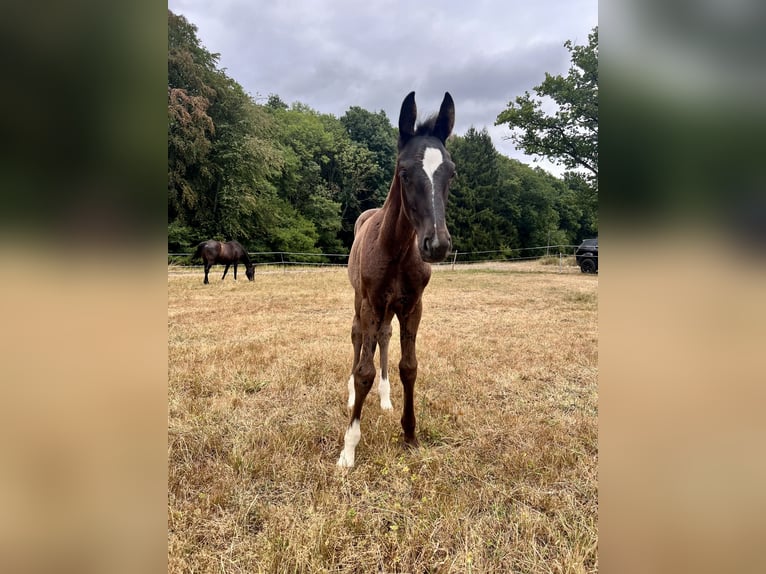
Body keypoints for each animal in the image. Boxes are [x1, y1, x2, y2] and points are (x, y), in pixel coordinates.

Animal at [337, 91, 456, 467]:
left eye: (451, 172)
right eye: (404, 172)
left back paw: (386, 399)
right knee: (358, 336)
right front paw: (348, 449)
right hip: (361, 301)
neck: (397, 249)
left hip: (390, 308)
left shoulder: (412, 306)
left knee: (384, 338)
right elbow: (364, 371)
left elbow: (409, 366)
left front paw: (410, 434)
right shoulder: (371, 303)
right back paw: (350, 395)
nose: (436, 244)